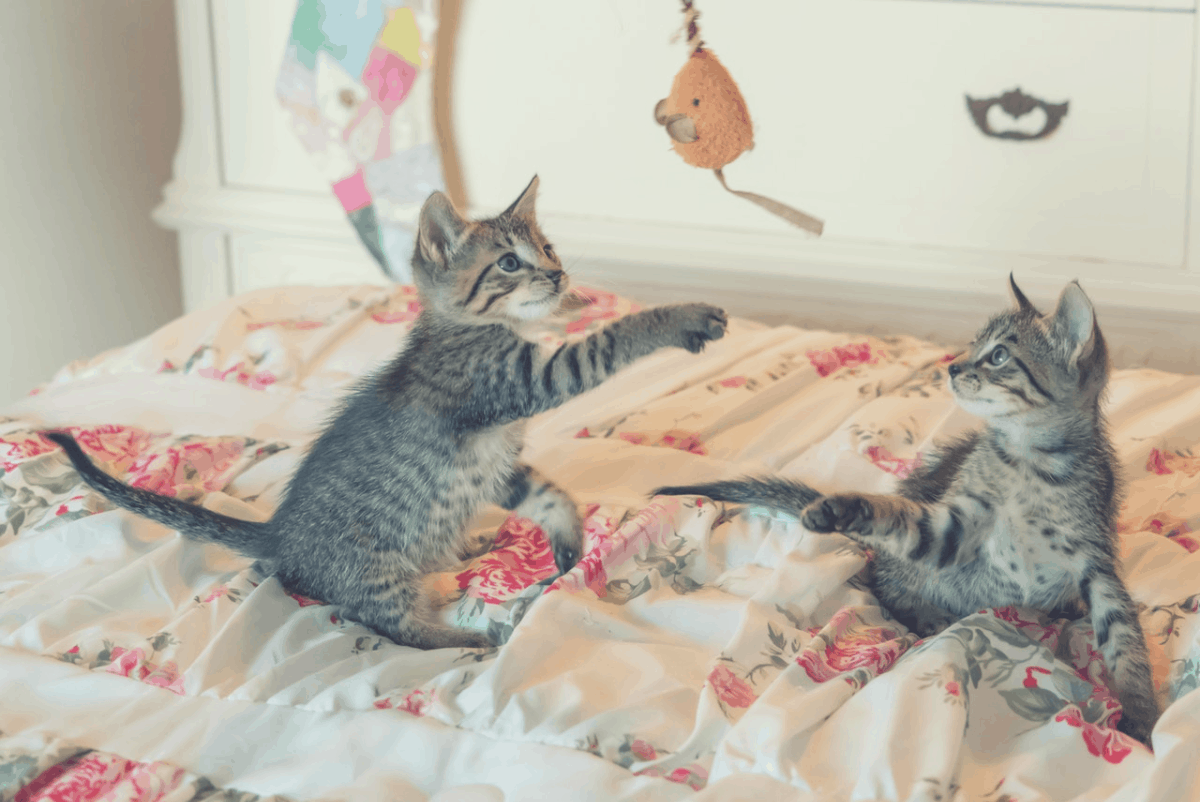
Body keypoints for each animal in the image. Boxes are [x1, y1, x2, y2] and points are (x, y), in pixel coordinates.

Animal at [46, 175, 724, 653]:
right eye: (509, 262)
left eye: (548, 247)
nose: (558, 276)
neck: (469, 327)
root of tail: (279, 534)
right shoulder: (516, 384)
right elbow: (611, 340)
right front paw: (681, 316)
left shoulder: (495, 460)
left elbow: (550, 493)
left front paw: (567, 538)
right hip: (376, 569)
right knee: (394, 627)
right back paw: (469, 638)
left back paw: (465, 552)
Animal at [662, 277, 1156, 744]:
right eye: (974, 344)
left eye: (998, 356)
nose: (953, 366)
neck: (1030, 461)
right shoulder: (953, 529)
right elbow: (897, 518)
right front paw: (838, 508)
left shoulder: (1097, 563)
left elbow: (1124, 639)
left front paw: (1142, 715)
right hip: (913, 569)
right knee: (885, 580)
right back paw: (928, 614)